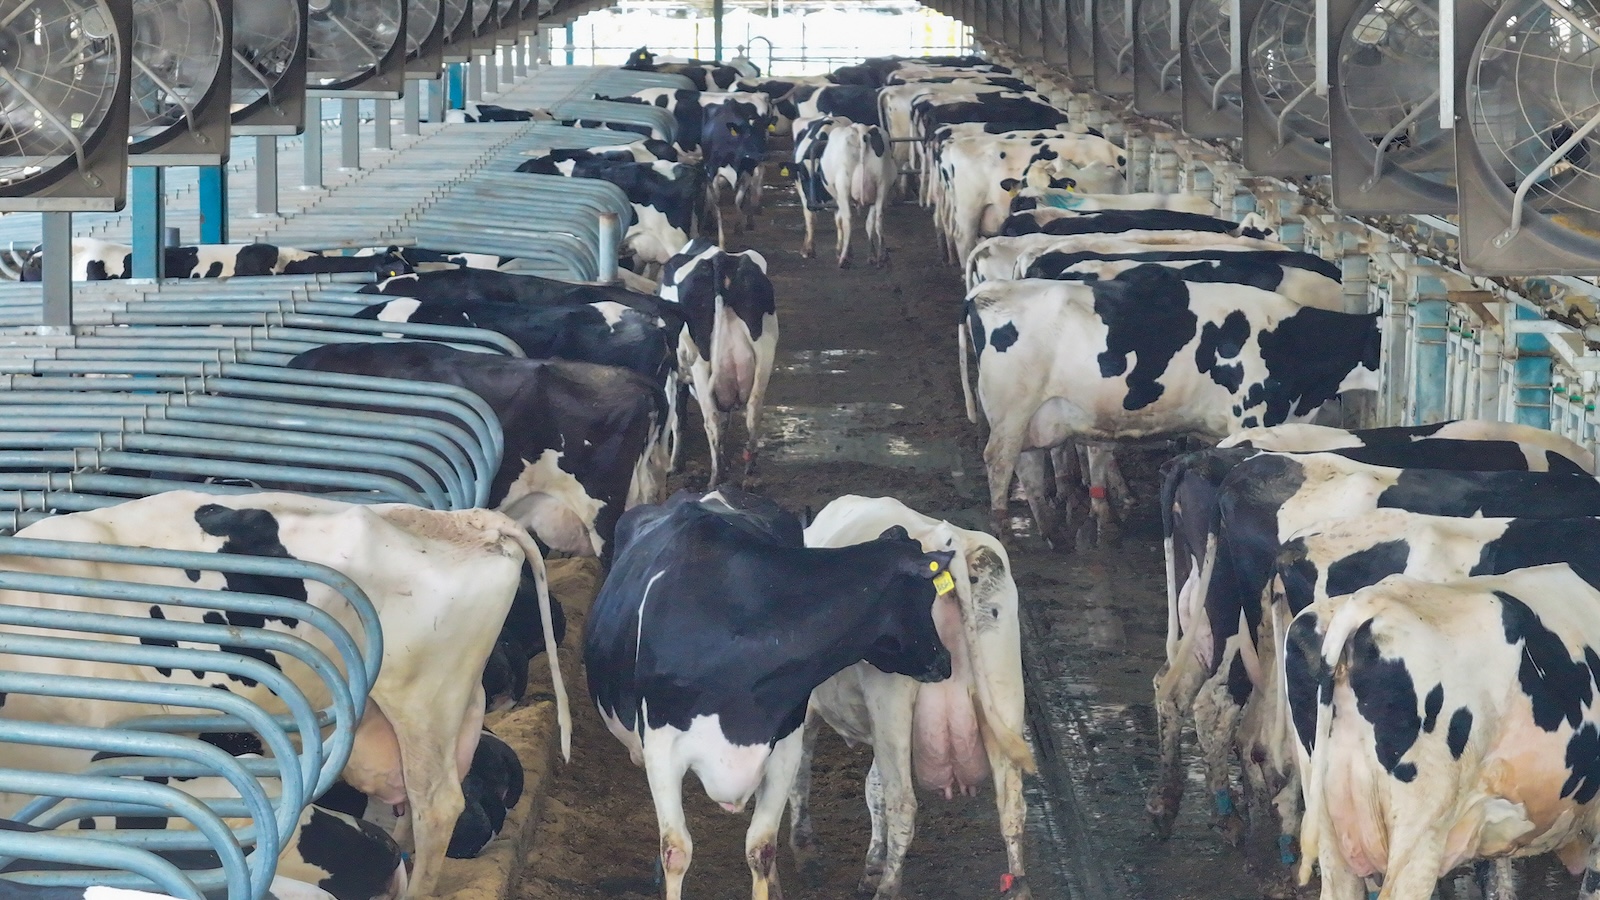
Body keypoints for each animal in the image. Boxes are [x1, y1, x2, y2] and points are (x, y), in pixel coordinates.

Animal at [588, 486, 953, 896]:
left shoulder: (783, 748)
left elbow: (761, 847)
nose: (944, 660)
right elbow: (676, 850)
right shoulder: (661, 747)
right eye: (927, 595)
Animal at [659, 238, 777, 486]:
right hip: (765, 351)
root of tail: (719, 258)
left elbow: (677, 418)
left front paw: (674, 465)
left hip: (701, 363)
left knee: (711, 418)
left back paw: (715, 477)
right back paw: (749, 471)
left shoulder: (673, 374)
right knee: (753, 411)